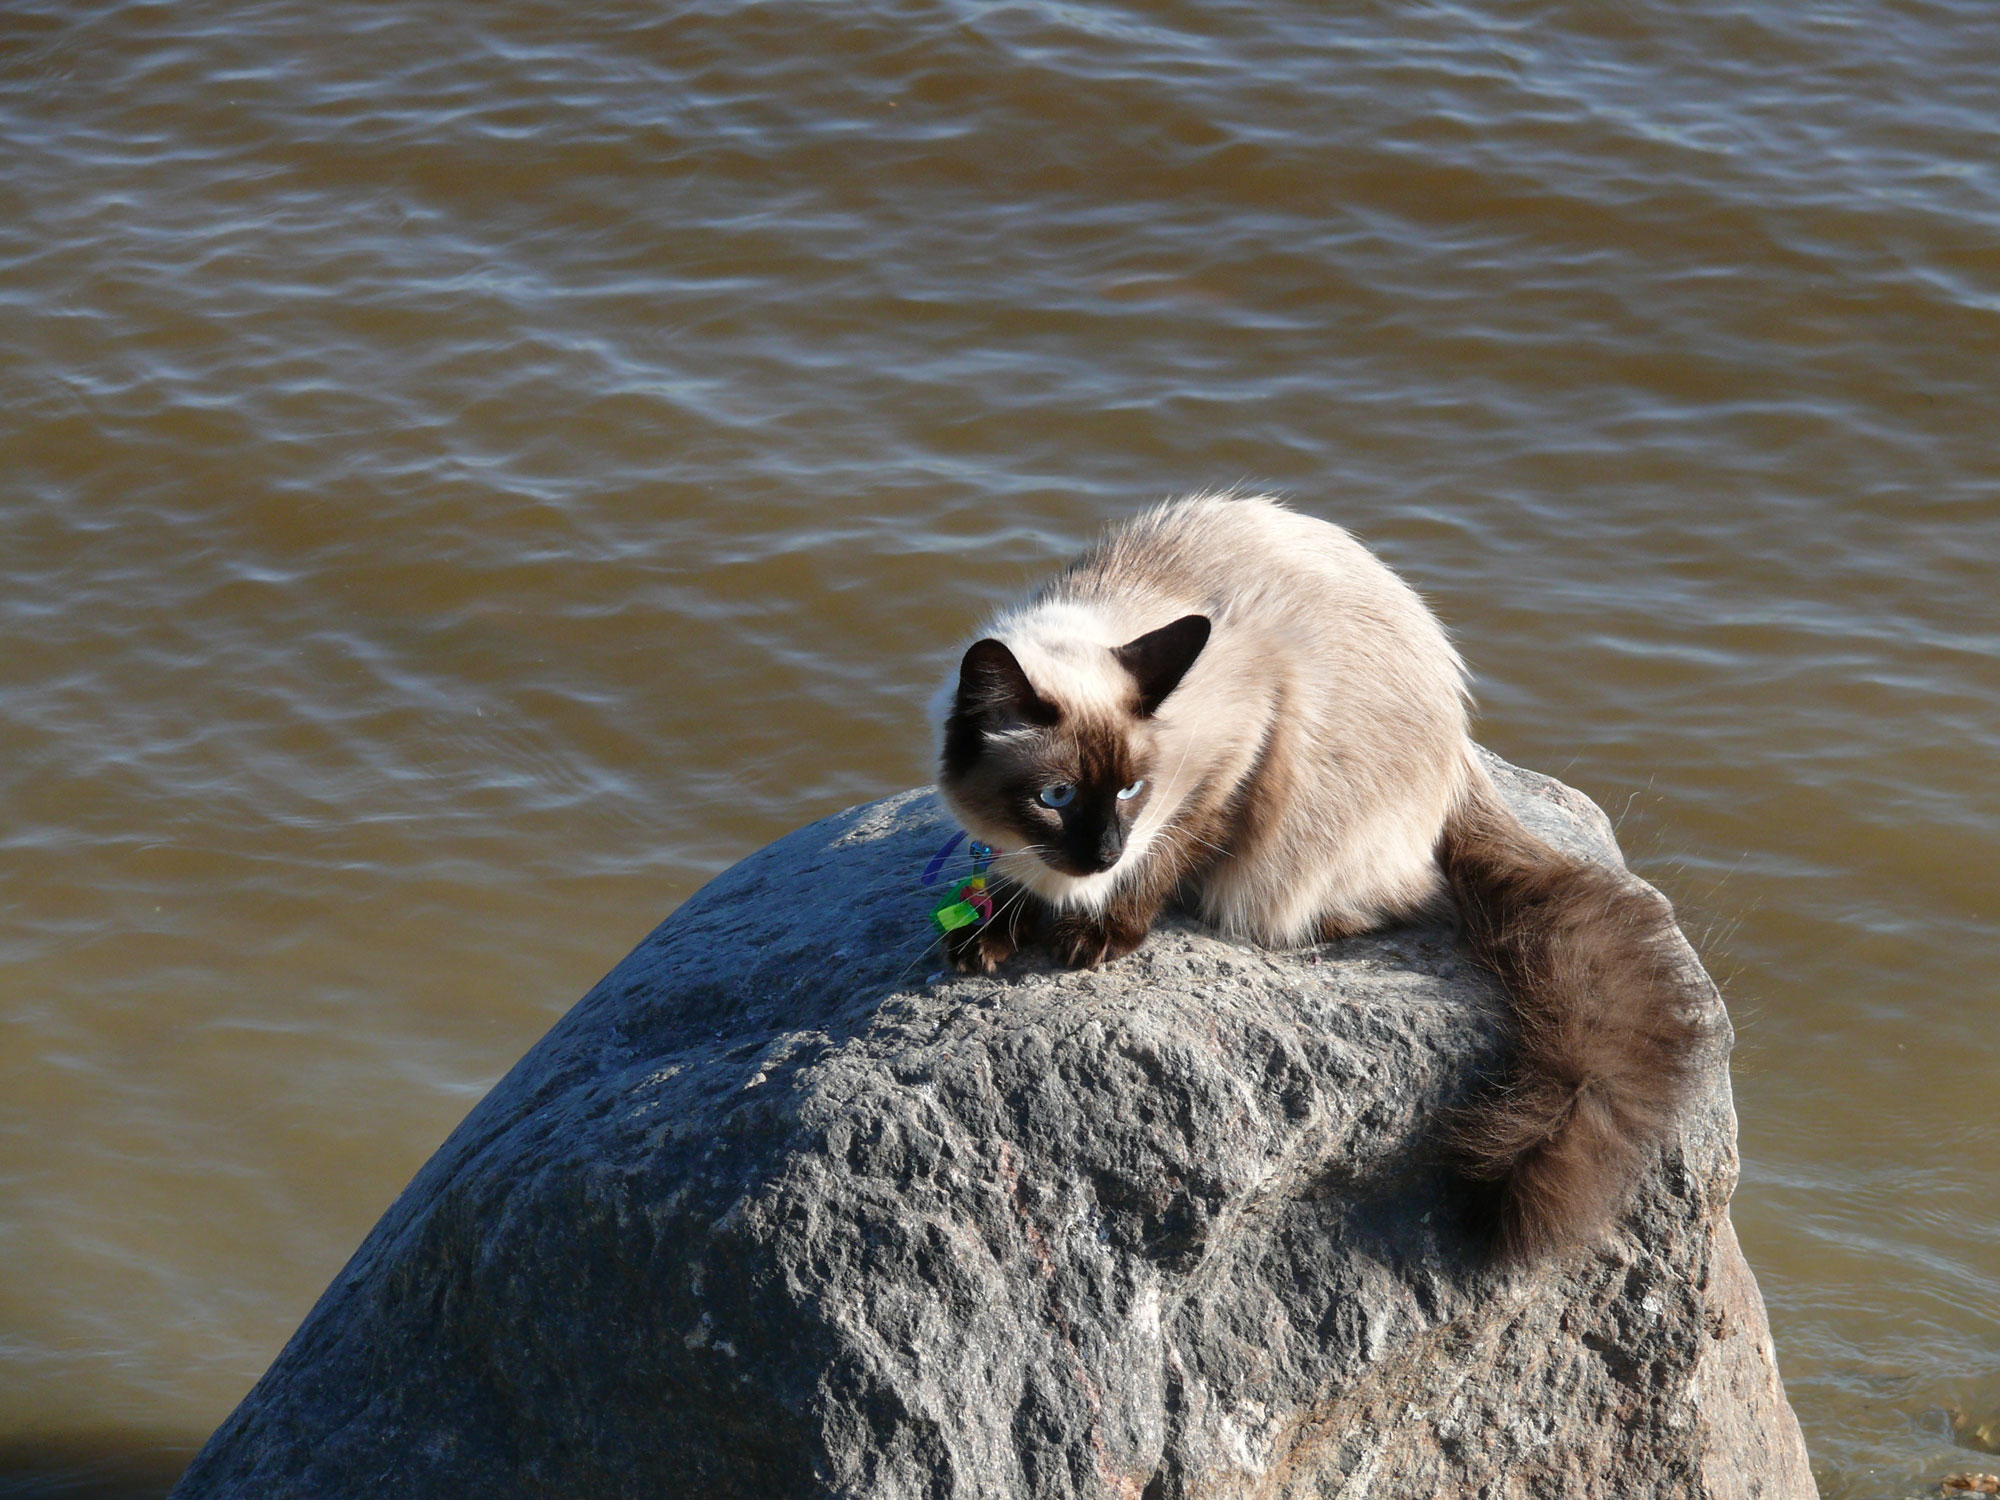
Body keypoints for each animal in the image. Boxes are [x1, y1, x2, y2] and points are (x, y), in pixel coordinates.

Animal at [934, 494, 1705, 1260]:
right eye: (1056, 797)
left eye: (1130, 790)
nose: (1104, 853)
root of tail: (1462, 751)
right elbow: (1011, 879)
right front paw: (990, 933)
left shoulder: (1230, 760)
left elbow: (1167, 856)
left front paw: (1097, 931)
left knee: (1415, 898)